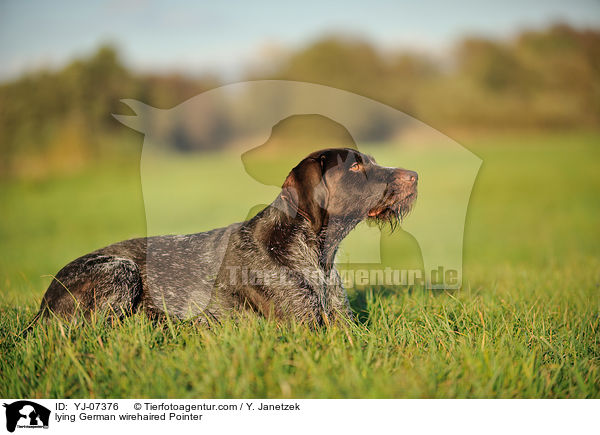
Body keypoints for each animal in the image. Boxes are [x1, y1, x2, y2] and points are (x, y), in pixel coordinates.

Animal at [32, 148, 418, 326]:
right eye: (356, 165)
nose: (415, 175)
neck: (314, 255)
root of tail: (42, 304)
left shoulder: (341, 321)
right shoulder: (306, 326)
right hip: (119, 269)